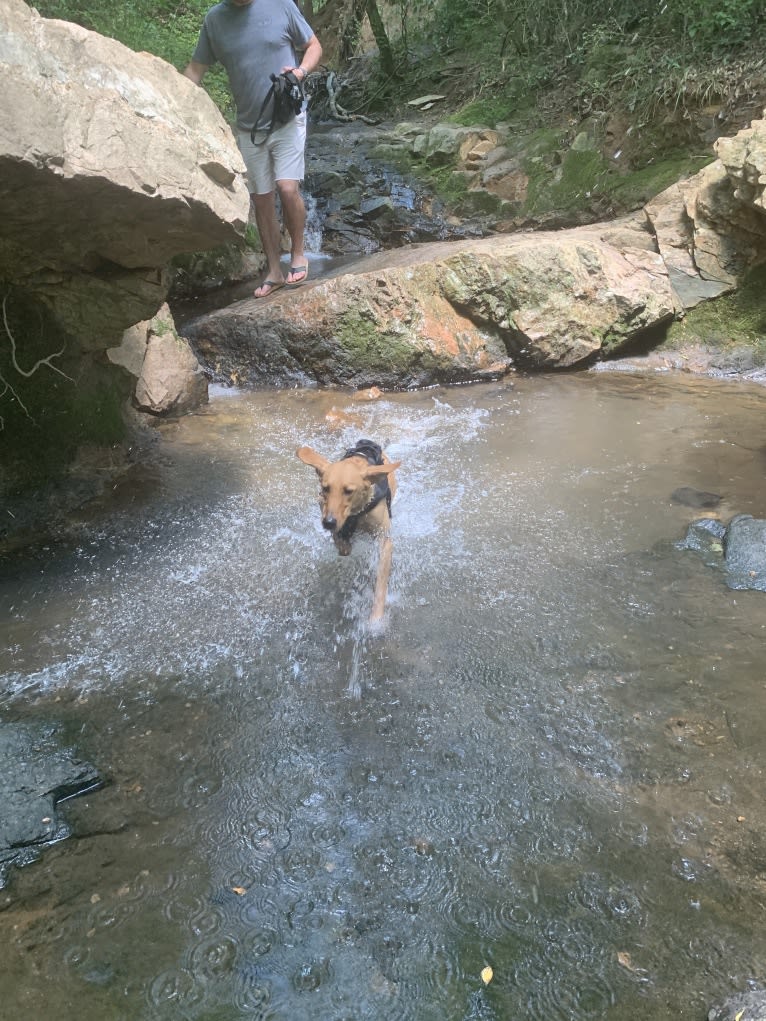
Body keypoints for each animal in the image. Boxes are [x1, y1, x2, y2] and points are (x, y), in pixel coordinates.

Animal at [296, 439, 402, 620]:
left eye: (348, 491)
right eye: (325, 488)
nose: (328, 522)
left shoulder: (385, 541)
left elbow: (381, 581)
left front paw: (376, 617)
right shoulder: (325, 511)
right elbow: (342, 544)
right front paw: (344, 542)